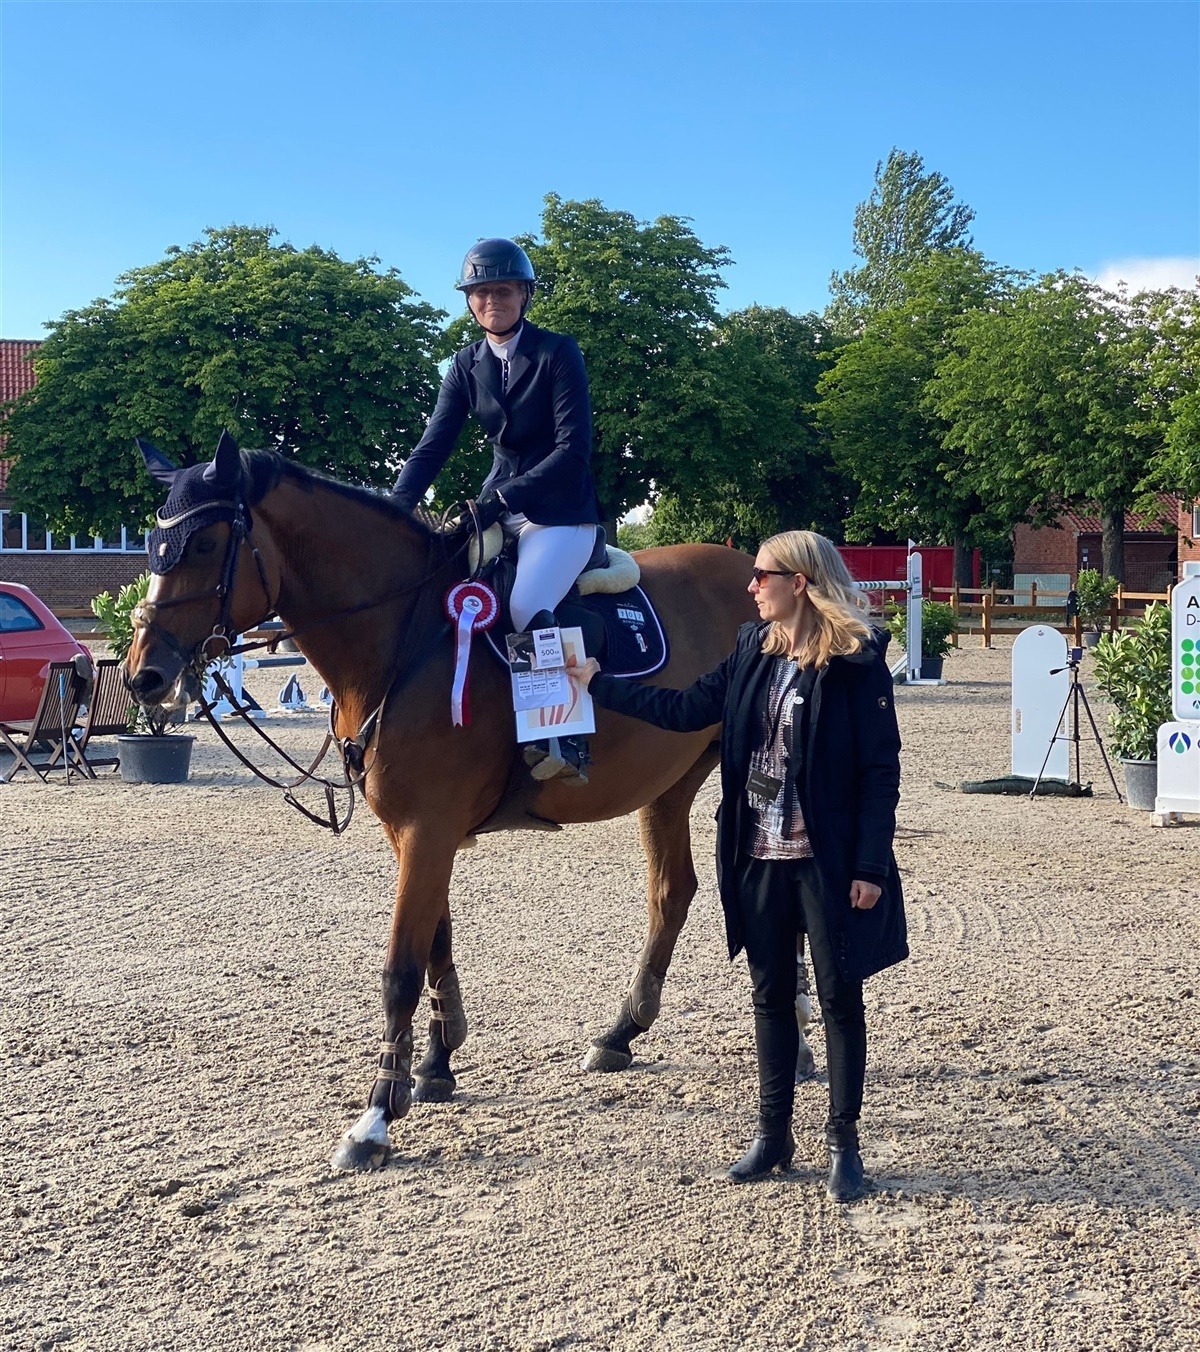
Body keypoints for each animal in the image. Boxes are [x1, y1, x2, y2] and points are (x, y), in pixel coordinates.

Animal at [126, 433, 760, 1170]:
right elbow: (436, 939)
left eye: (203, 544)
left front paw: (375, 1116)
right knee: (671, 891)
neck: (404, 635)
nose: (144, 675)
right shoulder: (412, 831)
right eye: (151, 545)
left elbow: (400, 967)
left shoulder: (429, 828)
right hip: (669, 783)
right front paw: (433, 1065)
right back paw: (620, 1033)